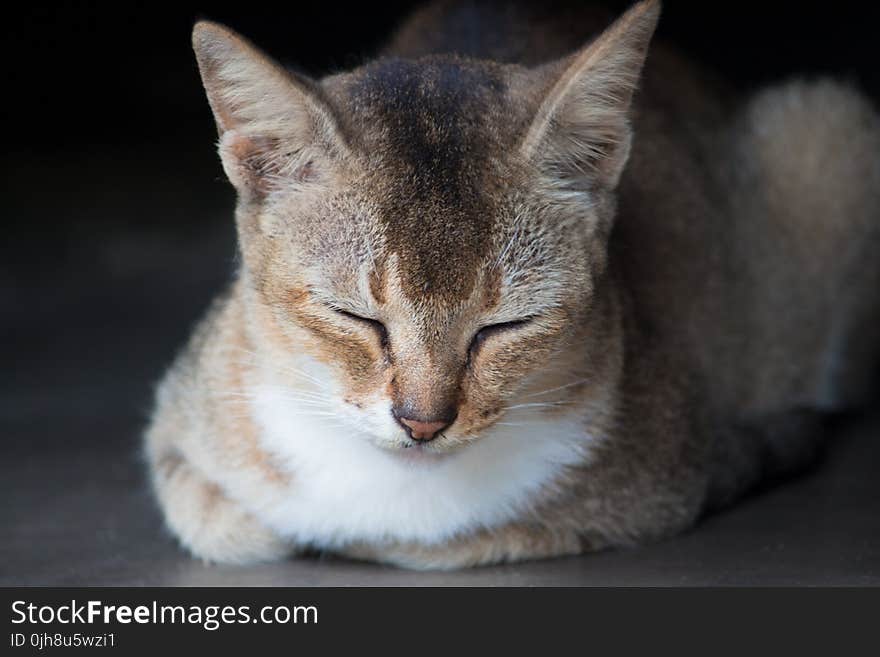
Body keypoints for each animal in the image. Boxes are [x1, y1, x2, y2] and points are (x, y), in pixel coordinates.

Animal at [144, 0, 880, 568]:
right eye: (355, 317)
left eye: (506, 326)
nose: (422, 422)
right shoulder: (177, 422)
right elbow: (225, 521)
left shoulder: (667, 478)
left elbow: (456, 540)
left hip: (826, 127)